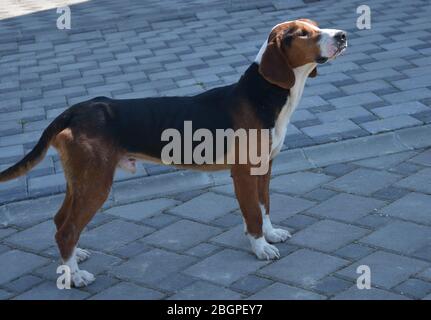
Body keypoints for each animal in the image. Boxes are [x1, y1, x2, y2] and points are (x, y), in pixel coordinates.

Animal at [0, 18, 348, 286]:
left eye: (317, 26)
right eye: (302, 33)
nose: (342, 35)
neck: (264, 94)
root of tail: (76, 110)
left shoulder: (265, 168)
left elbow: (264, 208)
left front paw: (270, 234)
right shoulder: (244, 174)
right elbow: (252, 214)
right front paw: (260, 247)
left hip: (81, 180)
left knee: (61, 222)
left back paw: (73, 260)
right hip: (96, 184)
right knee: (66, 230)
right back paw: (74, 277)